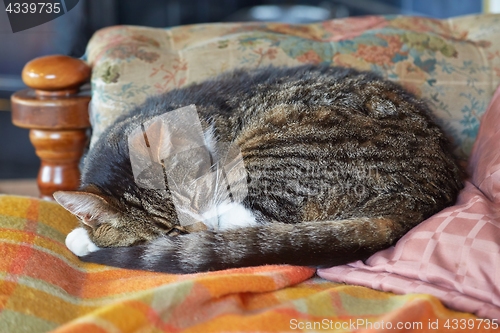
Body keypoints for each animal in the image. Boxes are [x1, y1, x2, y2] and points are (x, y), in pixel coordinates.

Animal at [52, 64, 462, 272]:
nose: (199, 230)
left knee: (259, 225)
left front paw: (83, 238)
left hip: (274, 155)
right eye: (169, 232)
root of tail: (429, 191)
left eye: (200, 194)